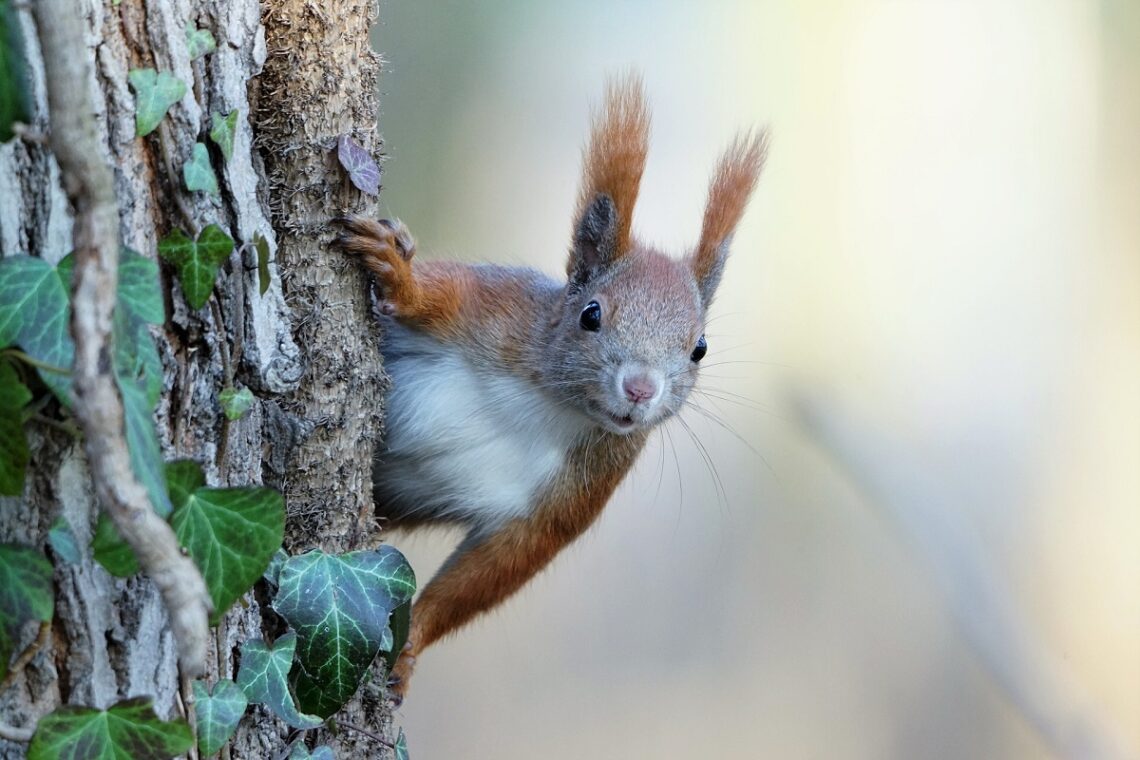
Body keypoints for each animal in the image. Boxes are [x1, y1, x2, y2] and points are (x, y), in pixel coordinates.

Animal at [335, 74, 766, 697]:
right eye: (591, 314)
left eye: (699, 349)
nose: (640, 390)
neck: (549, 402)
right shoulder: (495, 308)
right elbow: (437, 294)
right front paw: (400, 274)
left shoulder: (582, 487)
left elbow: (498, 567)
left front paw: (411, 644)